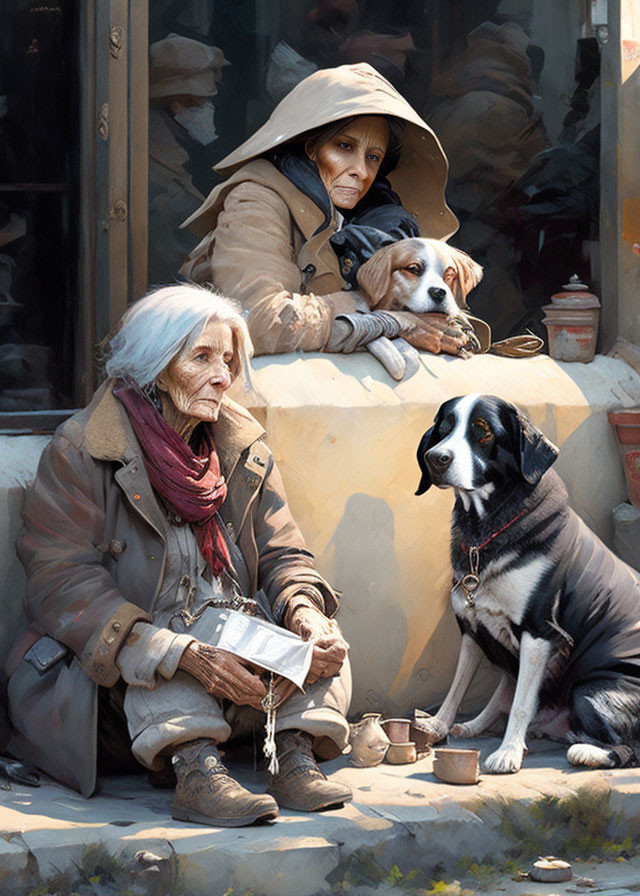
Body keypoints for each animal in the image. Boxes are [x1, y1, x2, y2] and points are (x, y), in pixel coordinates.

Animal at [418, 396, 640, 772]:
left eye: (482, 430)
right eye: (444, 428)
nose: (436, 458)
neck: (483, 529)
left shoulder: (539, 632)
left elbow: (522, 700)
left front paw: (507, 752)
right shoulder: (472, 627)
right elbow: (460, 684)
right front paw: (440, 724)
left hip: (590, 692)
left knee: (630, 748)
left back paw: (584, 750)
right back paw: (476, 725)